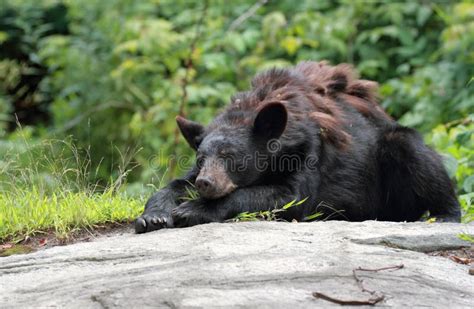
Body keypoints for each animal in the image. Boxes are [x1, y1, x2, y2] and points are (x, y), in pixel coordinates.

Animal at [135, 61, 462, 232]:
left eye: (232, 157)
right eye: (201, 159)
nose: (206, 183)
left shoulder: (310, 149)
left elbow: (290, 196)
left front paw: (191, 210)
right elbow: (177, 183)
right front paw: (155, 214)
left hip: (392, 159)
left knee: (417, 157)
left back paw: (445, 214)